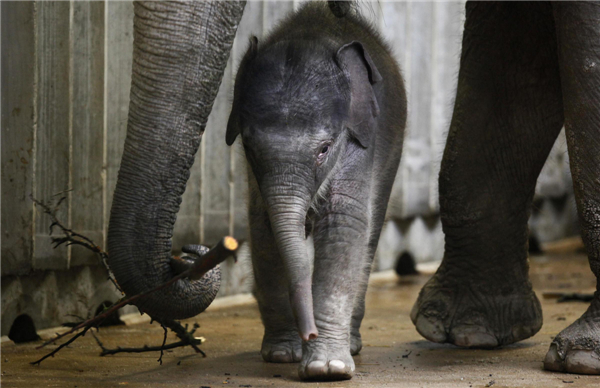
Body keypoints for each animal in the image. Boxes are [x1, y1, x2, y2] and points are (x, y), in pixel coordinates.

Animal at [225, 1, 408, 380]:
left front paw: (328, 369)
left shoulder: (360, 141)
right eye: (248, 147)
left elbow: (344, 226)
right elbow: (264, 229)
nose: (308, 332)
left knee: (370, 235)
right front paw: (283, 354)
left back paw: (351, 344)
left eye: (324, 149)